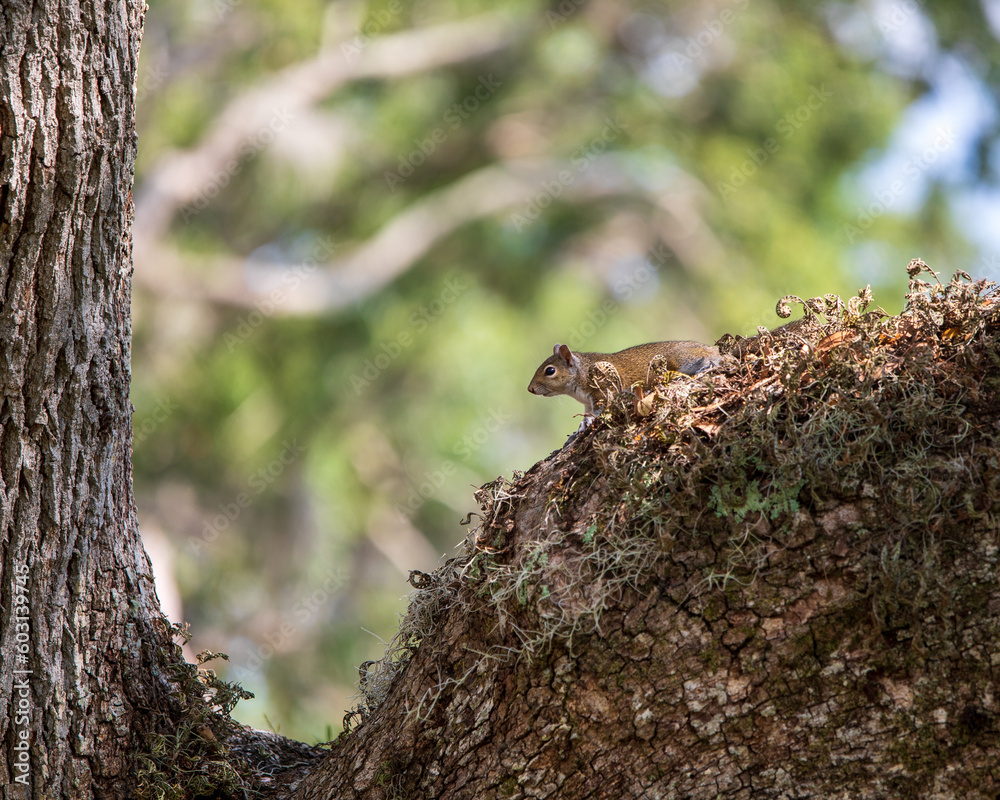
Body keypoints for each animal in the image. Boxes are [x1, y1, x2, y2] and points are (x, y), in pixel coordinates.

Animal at [527, 341, 724, 417]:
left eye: (550, 371)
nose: (530, 389)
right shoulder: (587, 403)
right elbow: (587, 413)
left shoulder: (602, 388)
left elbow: (599, 409)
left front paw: (590, 421)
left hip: (683, 358)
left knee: (706, 358)